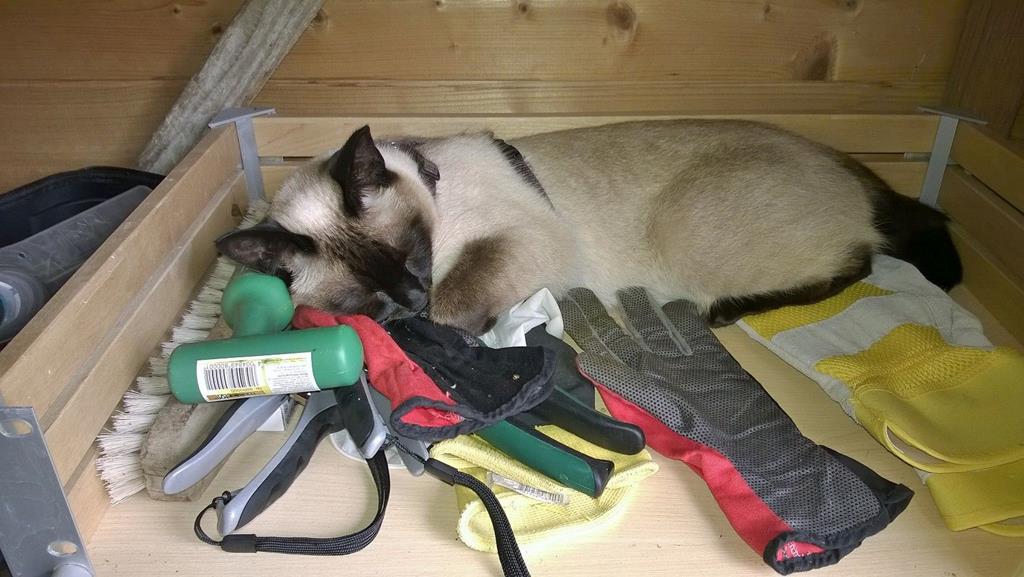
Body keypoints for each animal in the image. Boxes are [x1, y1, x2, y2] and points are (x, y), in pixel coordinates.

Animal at [216, 120, 961, 335]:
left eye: (413, 256)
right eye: (364, 296)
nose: (409, 300)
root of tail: (839, 159)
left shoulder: (526, 243)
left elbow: (461, 300)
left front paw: (456, 323)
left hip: (688, 233)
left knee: (861, 262)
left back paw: (725, 313)